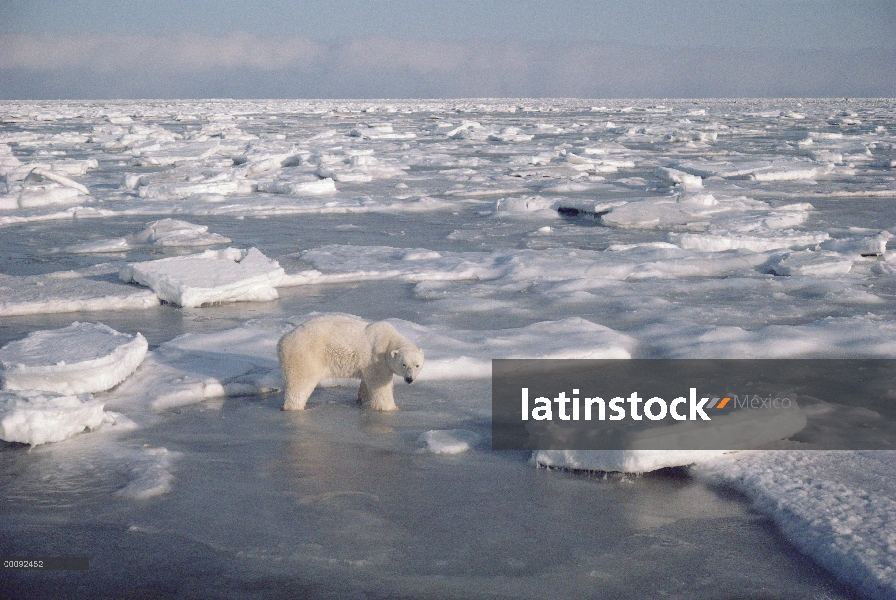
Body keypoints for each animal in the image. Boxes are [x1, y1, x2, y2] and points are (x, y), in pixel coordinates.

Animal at [276, 314, 424, 412]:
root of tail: (282, 340)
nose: (409, 379)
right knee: (300, 384)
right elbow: (380, 385)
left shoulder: (368, 364)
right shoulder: (377, 359)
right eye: (404, 364)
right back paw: (295, 407)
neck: (389, 339)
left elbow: (366, 384)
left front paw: (363, 399)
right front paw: (391, 408)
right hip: (304, 356)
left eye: (417, 365)